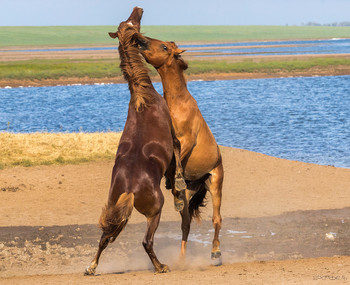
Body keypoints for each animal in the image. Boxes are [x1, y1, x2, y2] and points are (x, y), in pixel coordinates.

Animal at [84, 6, 186, 274]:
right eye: (133, 23)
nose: (138, 8)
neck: (144, 98)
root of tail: (129, 189)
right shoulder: (172, 137)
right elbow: (178, 156)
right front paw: (178, 184)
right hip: (154, 212)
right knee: (146, 241)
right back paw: (161, 266)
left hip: (117, 210)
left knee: (105, 237)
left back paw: (91, 267)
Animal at [137, 32, 224, 260]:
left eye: (165, 47)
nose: (140, 40)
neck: (178, 104)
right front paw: (171, 183)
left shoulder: (186, 141)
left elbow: (175, 158)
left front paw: (172, 180)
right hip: (190, 195)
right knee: (186, 225)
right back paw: (182, 259)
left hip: (216, 185)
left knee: (217, 219)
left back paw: (215, 252)